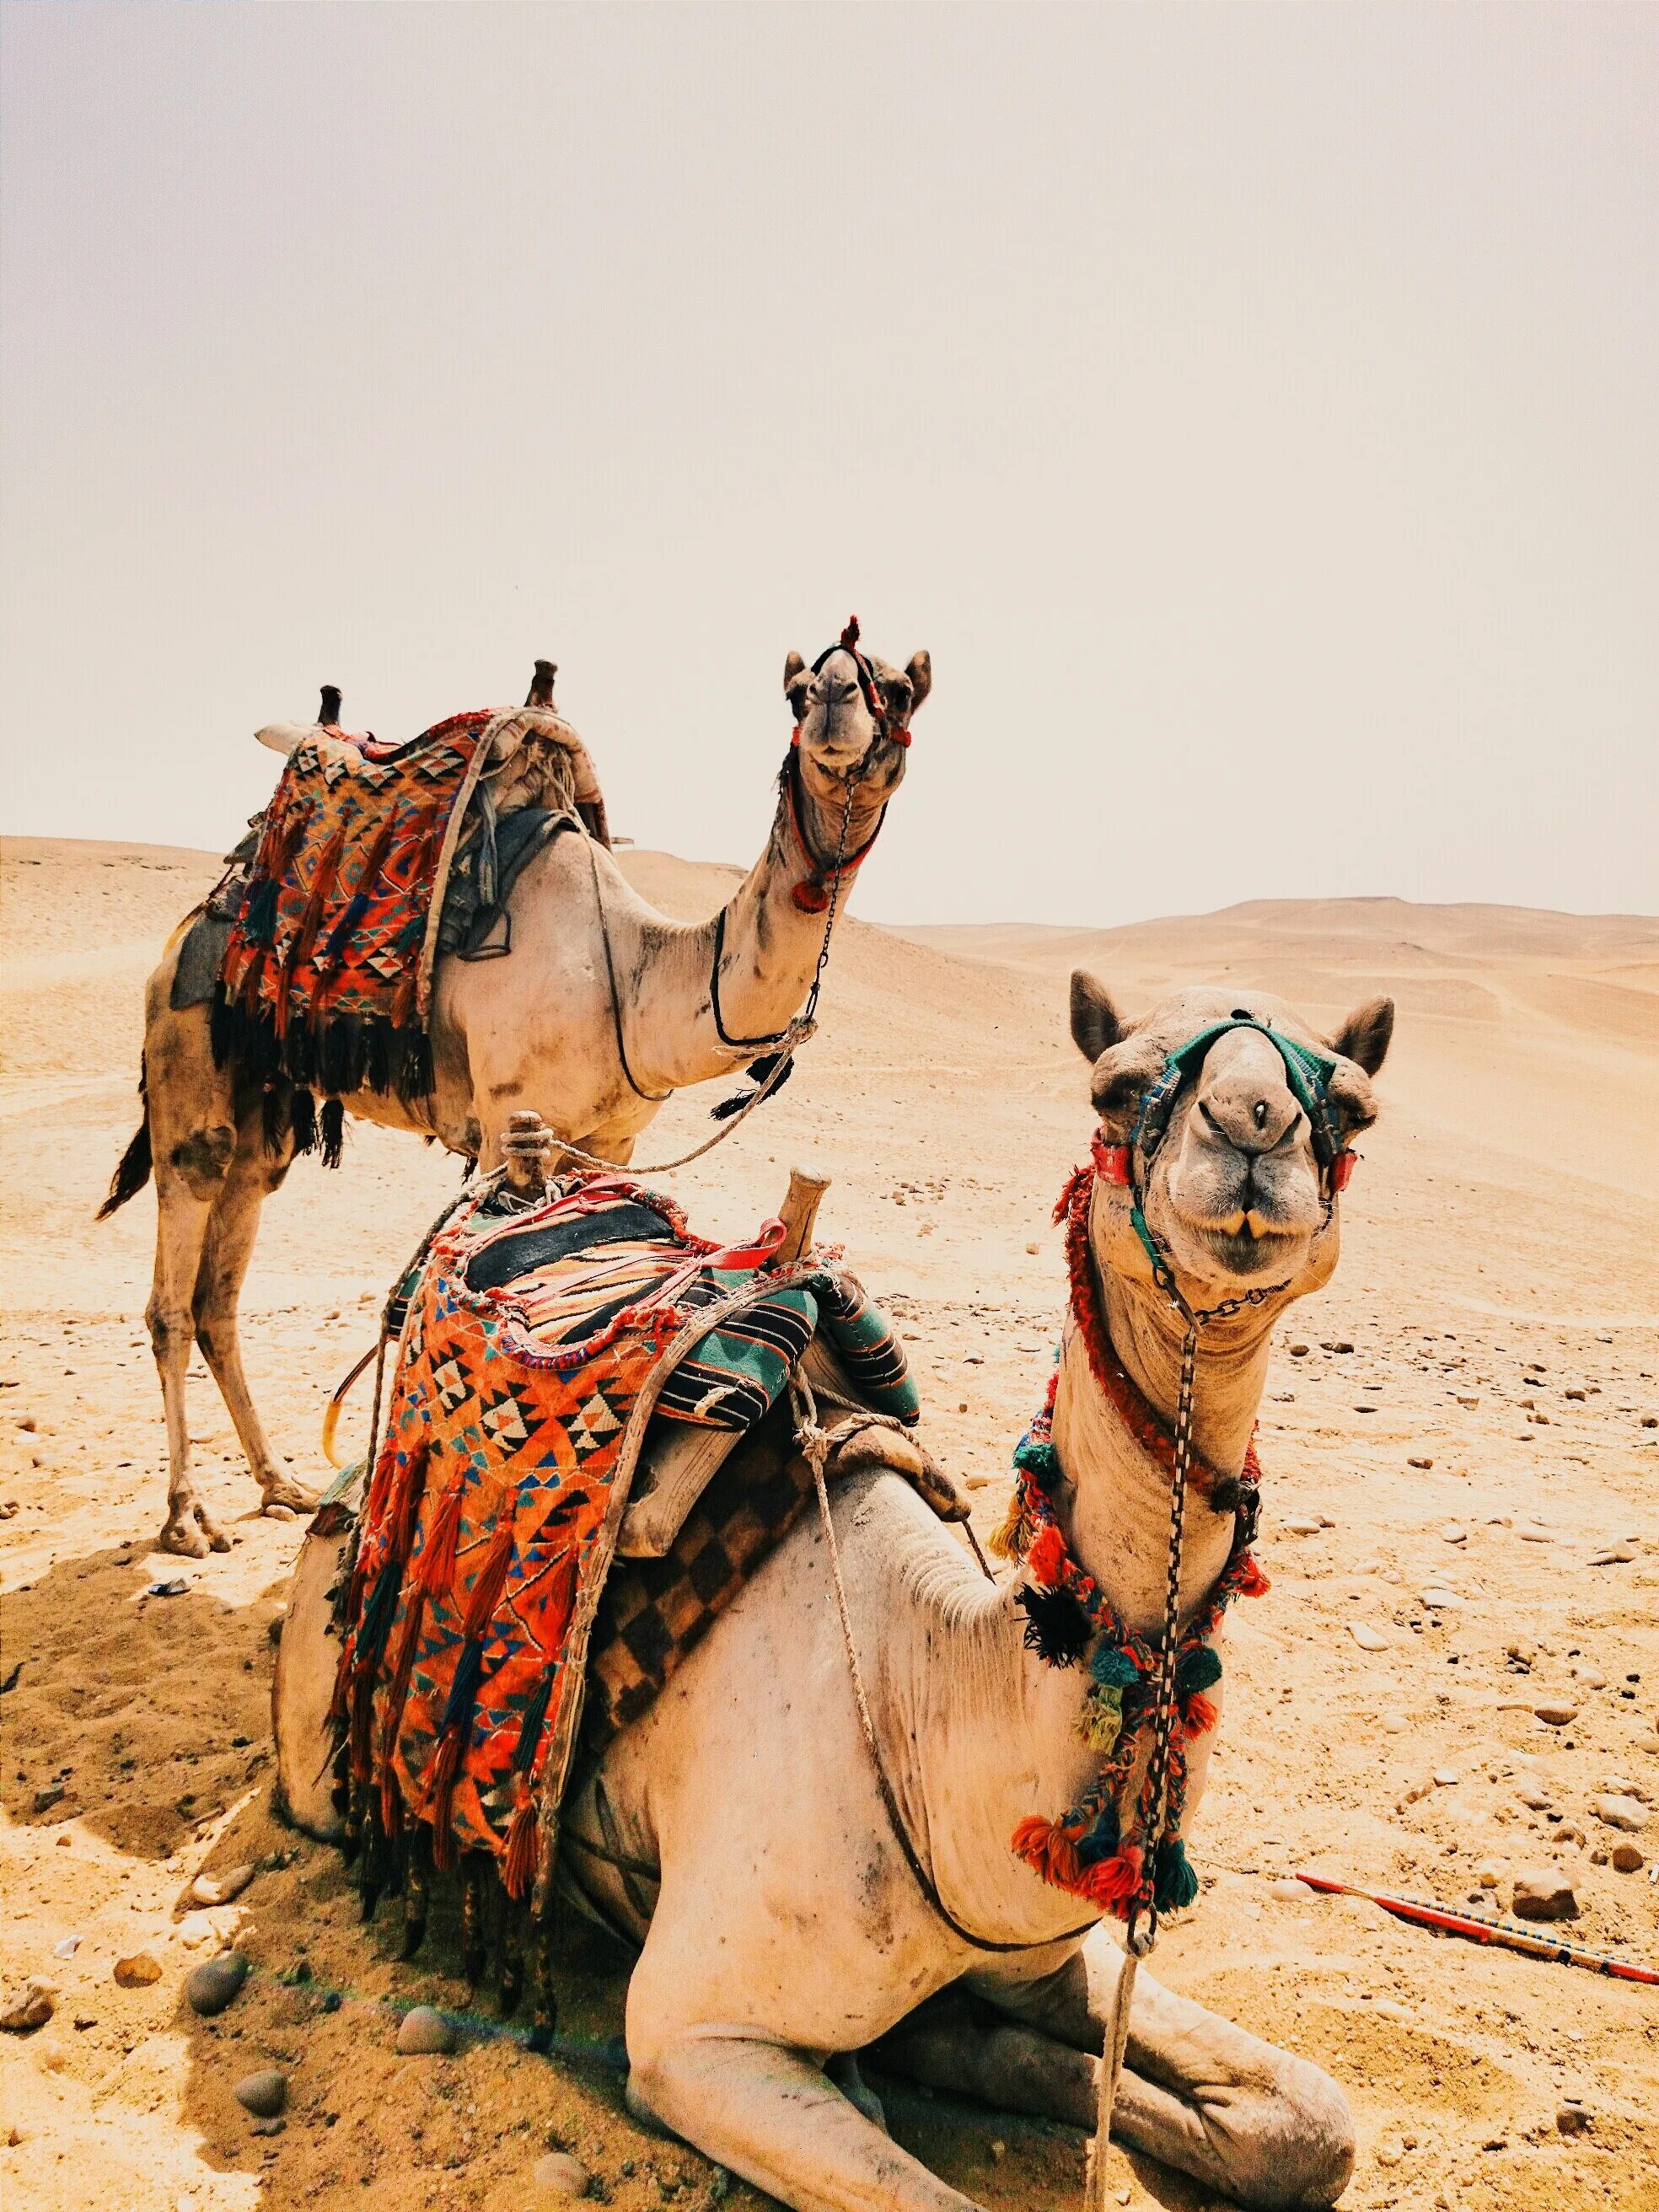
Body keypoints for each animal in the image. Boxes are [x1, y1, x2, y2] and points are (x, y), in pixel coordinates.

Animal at [99, 632, 930, 1559]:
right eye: (797, 691)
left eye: (899, 689)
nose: (836, 702)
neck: (634, 981)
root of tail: (203, 916)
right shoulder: (507, 1124)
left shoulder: (610, 1141)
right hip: (188, 1054)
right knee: (175, 1285)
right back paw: (187, 1516)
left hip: (265, 1105)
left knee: (223, 1278)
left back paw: (279, 1481)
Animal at [274, 971, 1393, 2210]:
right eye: (1114, 1087)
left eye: (1354, 1103)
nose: (1251, 1127)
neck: (926, 1708)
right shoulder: (693, 2037)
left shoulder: (1037, 1950)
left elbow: (1309, 2119)